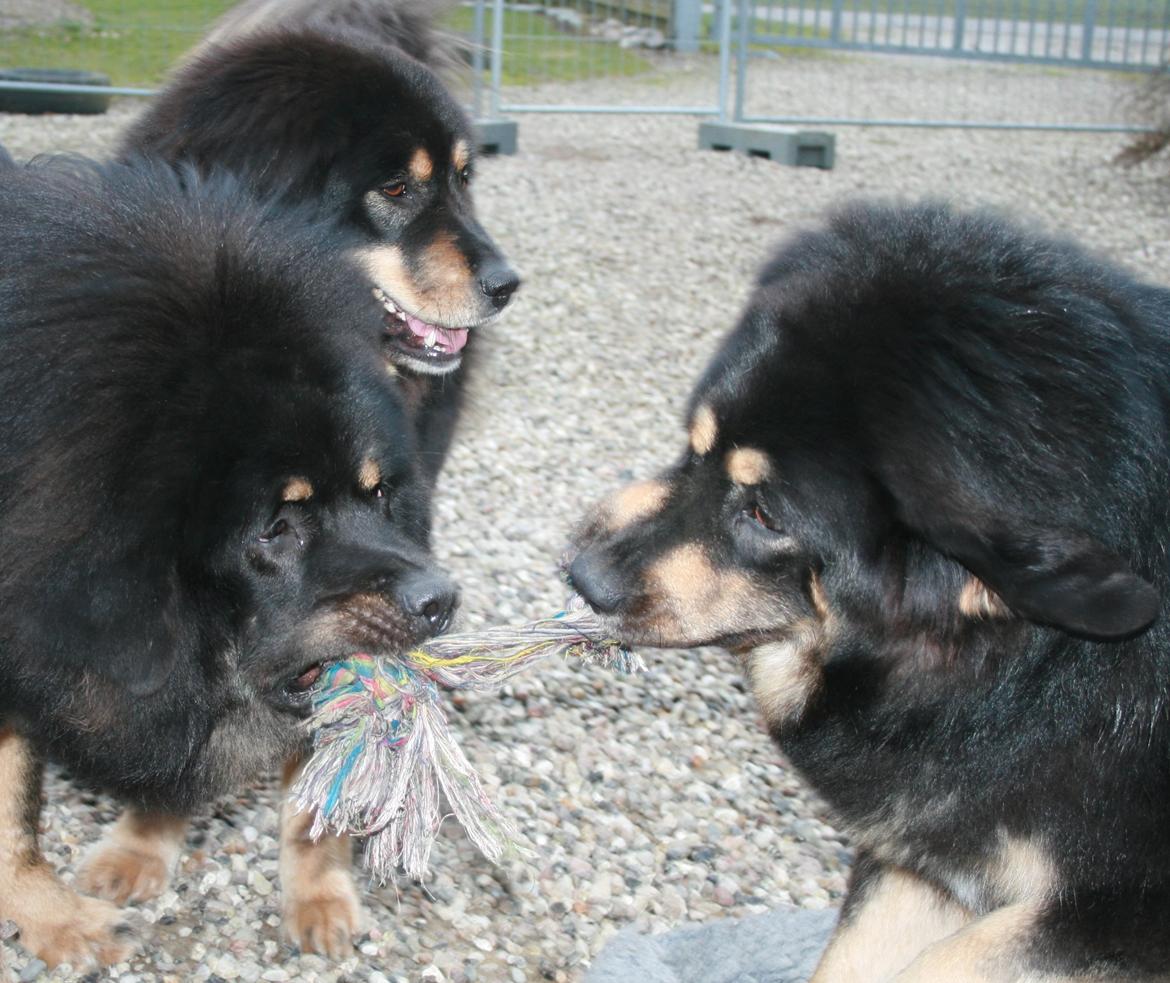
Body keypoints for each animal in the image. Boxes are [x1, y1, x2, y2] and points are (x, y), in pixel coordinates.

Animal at [0, 155, 458, 968]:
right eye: (275, 528)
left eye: (378, 495)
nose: (442, 598)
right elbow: (15, 810)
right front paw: (63, 915)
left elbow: (312, 793)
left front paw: (317, 896)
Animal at [570, 201, 1170, 983]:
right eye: (695, 445)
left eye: (765, 514)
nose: (579, 573)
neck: (1027, 666)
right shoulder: (926, 861)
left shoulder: (1111, 910)